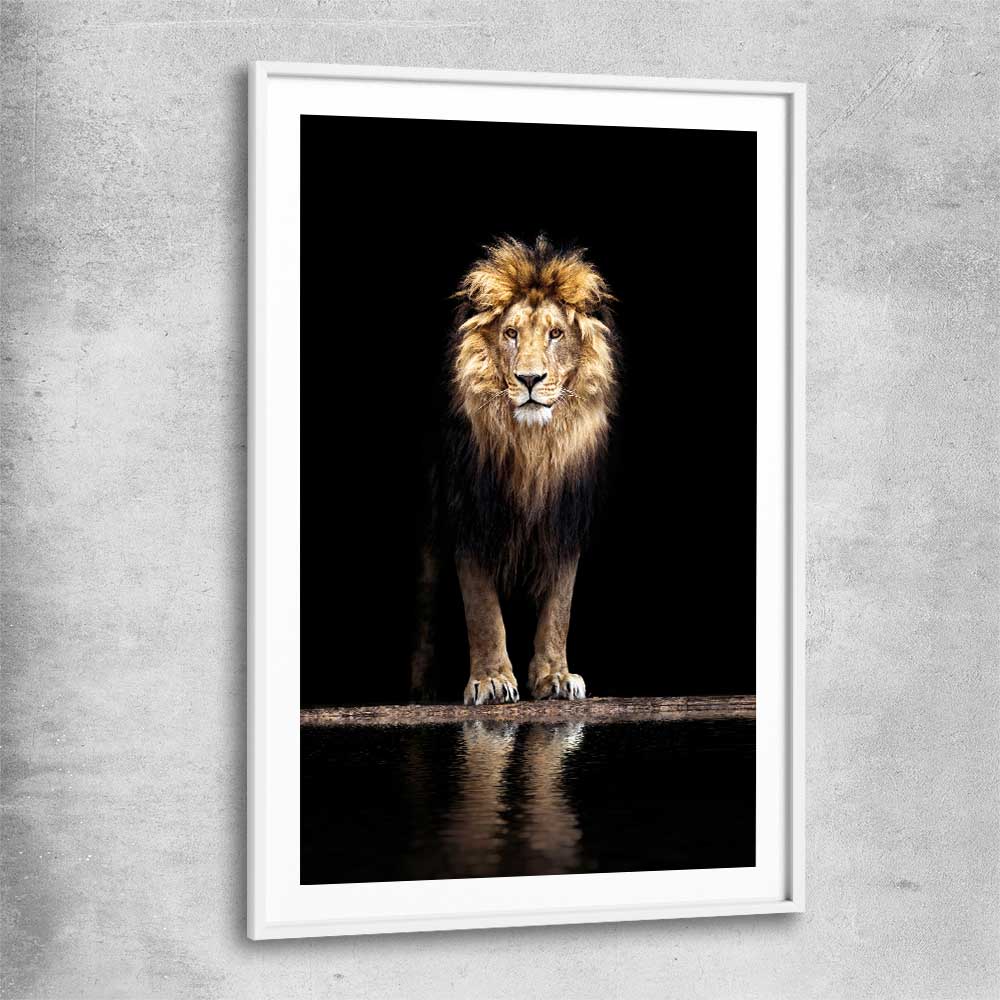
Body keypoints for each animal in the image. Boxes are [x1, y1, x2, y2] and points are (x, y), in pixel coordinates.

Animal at [410, 235, 619, 706]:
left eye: (555, 334)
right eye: (511, 334)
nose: (529, 379)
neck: (532, 447)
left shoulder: (564, 520)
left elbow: (559, 608)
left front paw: (556, 677)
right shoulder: (470, 515)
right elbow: (483, 610)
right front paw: (490, 680)